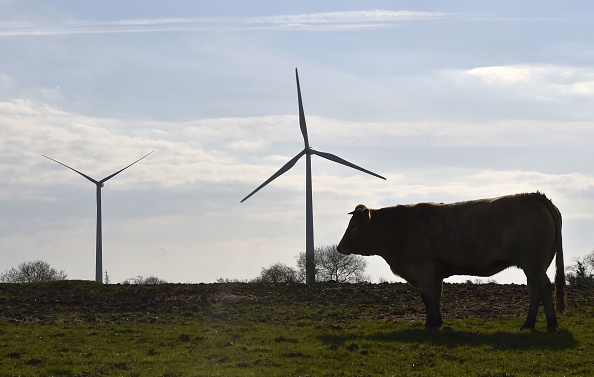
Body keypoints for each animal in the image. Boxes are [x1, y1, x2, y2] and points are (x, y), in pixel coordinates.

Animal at [336, 191, 560, 328]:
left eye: (354, 225)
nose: (339, 247)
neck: (399, 228)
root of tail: (532, 196)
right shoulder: (435, 274)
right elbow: (436, 297)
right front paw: (437, 322)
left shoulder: (423, 271)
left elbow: (427, 298)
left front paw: (429, 324)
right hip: (535, 265)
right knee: (534, 290)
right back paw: (528, 324)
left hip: (533, 264)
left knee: (544, 287)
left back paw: (552, 324)